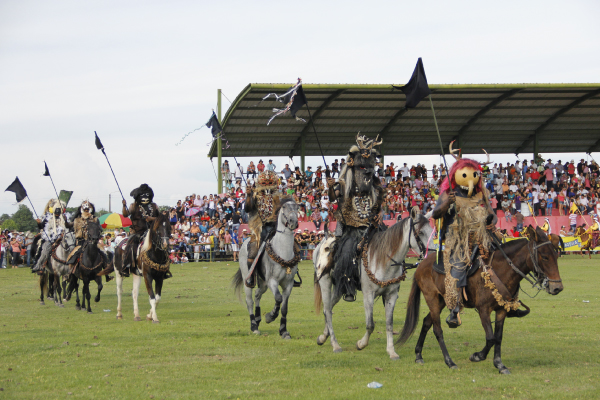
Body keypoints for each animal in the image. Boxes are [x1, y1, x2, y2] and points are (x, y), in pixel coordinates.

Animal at [233, 198, 300, 340]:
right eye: (284, 207)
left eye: (297, 207)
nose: (293, 222)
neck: (283, 252)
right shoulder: (272, 281)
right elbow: (278, 298)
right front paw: (270, 316)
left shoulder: (288, 284)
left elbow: (284, 307)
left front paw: (284, 331)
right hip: (248, 279)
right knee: (250, 301)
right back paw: (254, 326)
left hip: (263, 283)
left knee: (258, 294)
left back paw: (258, 319)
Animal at [312, 208, 434, 358]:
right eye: (421, 232)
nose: (433, 255)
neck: (384, 260)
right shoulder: (368, 295)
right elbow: (370, 325)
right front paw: (361, 344)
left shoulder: (391, 295)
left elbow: (389, 323)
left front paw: (391, 351)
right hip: (325, 282)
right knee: (328, 311)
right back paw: (335, 345)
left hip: (339, 288)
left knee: (327, 308)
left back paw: (323, 337)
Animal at [398, 228, 564, 376]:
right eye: (545, 257)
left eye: (556, 255)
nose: (557, 288)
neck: (501, 269)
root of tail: (422, 264)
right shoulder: (484, 310)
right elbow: (490, 338)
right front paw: (477, 356)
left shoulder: (501, 310)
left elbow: (498, 338)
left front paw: (500, 365)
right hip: (431, 298)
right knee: (437, 330)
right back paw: (450, 362)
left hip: (442, 301)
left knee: (427, 322)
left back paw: (418, 355)